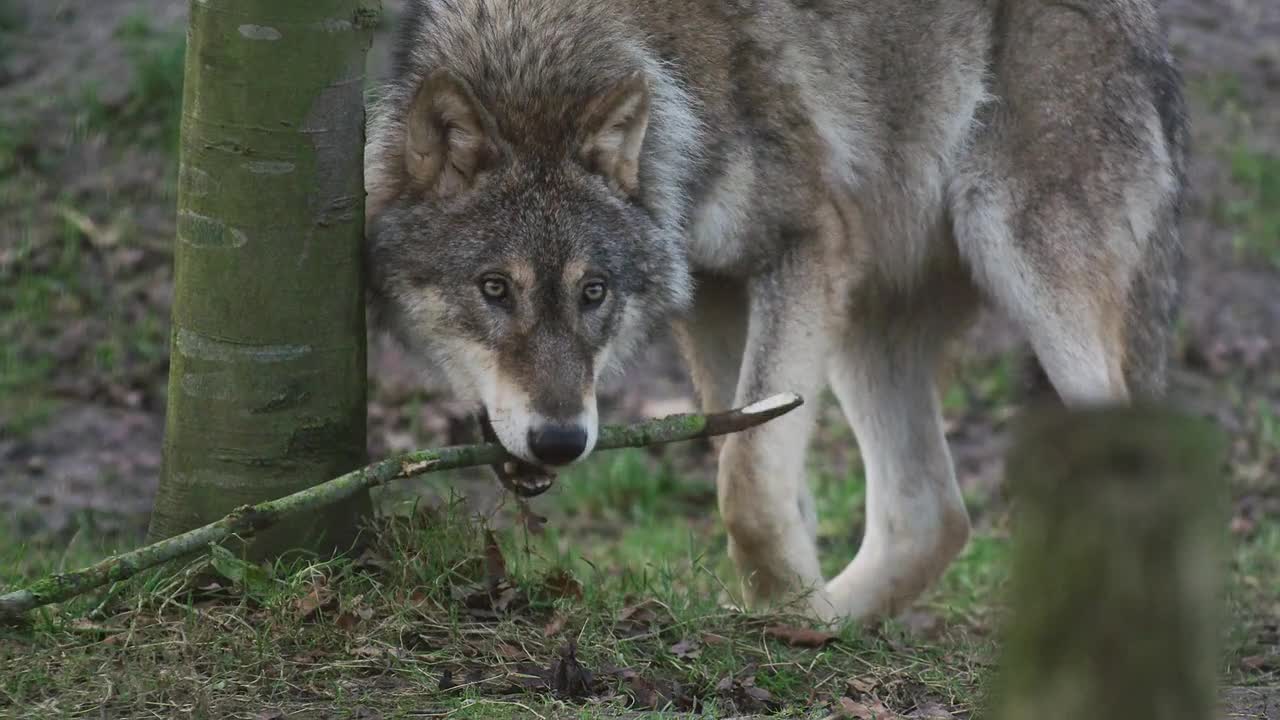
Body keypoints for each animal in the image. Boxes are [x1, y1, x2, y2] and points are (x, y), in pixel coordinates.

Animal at [364, 0, 1189, 623]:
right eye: (494, 289)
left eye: (593, 291)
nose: (562, 441)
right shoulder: (716, 291)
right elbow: (748, 453)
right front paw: (786, 617)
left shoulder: (804, 247)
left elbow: (750, 476)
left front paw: (787, 615)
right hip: (866, 324)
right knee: (933, 516)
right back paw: (837, 623)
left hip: (1022, 263)